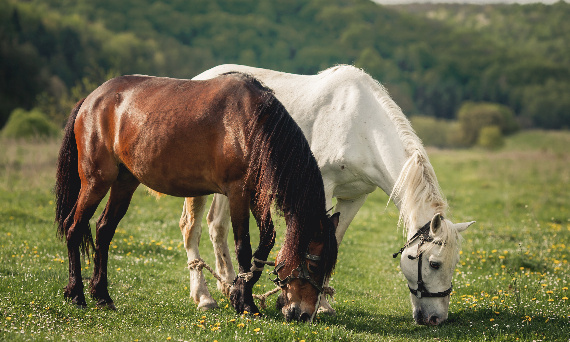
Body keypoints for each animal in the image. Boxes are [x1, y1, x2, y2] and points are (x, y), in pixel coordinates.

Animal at [54, 72, 338, 320]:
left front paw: (239, 293)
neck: (253, 125)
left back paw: (102, 296)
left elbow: (265, 241)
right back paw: (76, 294)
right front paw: (245, 303)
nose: (304, 315)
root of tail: (91, 100)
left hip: (124, 183)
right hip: (96, 182)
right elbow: (243, 247)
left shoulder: (256, 195)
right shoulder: (238, 193)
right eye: (314, 266)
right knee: (74, 227)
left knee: (103, 231)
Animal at [180, 65, 472, 326]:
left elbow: (335, 241)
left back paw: (229, 285)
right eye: (434, 264)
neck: (362, 126)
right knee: (192, 227)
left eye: (455, 263)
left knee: (217, 226)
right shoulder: (322, 190)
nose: (436, 319)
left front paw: (322, 302)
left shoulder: (355, 198)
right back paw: (204, 297)